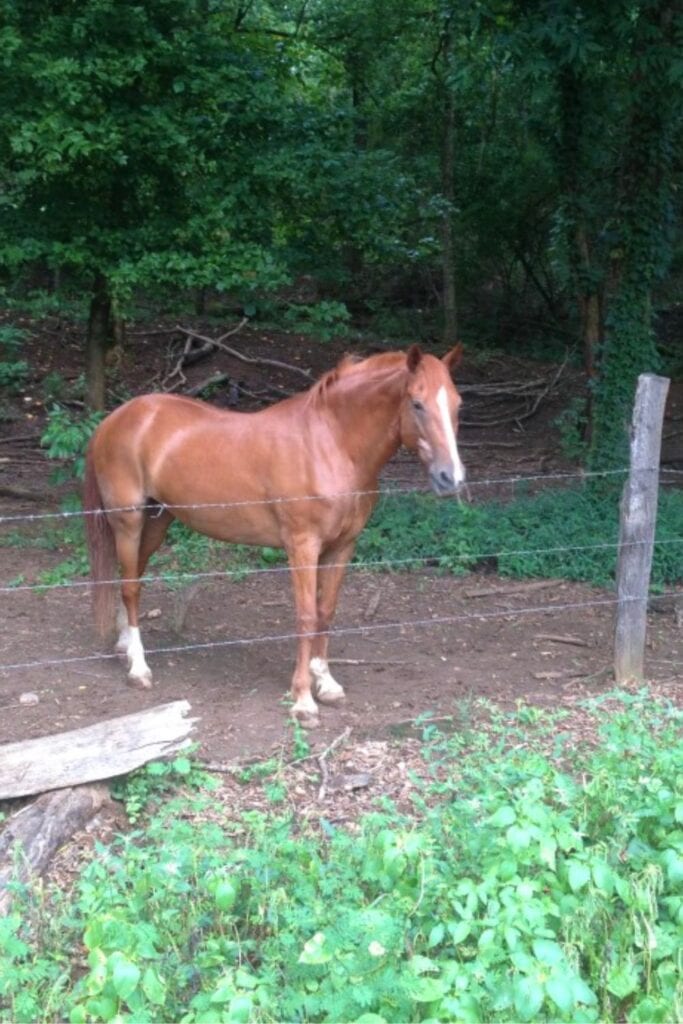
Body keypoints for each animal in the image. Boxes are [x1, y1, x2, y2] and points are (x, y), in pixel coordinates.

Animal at [83, 343, 465, 727]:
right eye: (417, 403)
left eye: (457, 404)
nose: (452, 478)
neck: (330, 444)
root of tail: (115, 419)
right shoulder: (303, 546)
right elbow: (306, 615)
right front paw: (303, 700)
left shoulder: (342, 547)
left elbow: (326, 610)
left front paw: (326, 683)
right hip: (128, 522)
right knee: (131, 588)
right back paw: (139, 668)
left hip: (158, 521)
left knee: (130, 577)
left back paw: (124, 645)